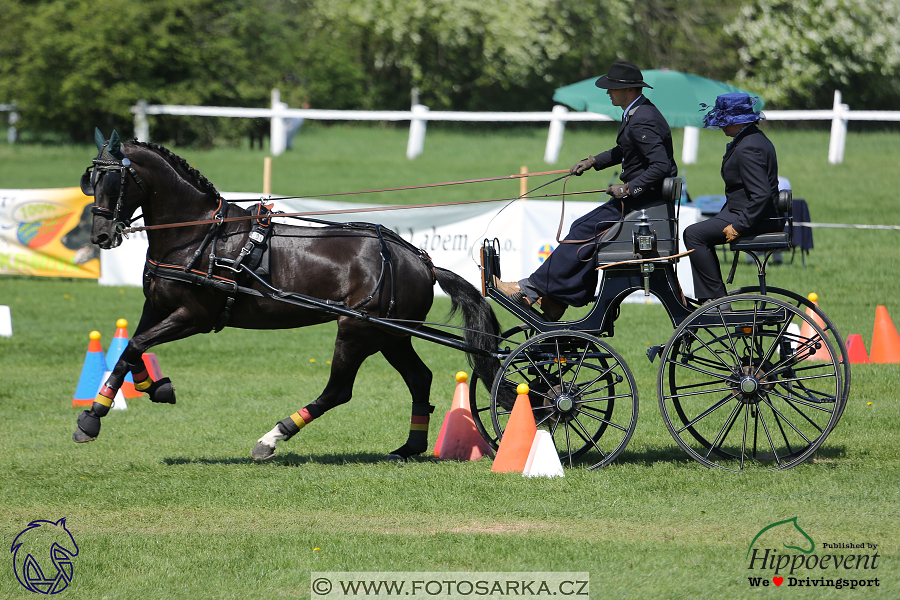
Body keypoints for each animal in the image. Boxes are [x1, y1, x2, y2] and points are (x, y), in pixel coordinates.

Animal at [75, 131, 500, 460]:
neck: (198, 235)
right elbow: (132, 349)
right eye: (89, 179)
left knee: (339, 391)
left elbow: (135, 346)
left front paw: (91, 418)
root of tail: (422, 261)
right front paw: (151, 388)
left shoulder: (193, 316)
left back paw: (272, 438)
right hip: (390, 334)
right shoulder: (156, 306)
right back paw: (409, 447)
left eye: (113, 181)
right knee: (419, 378)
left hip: (357, 331)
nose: (101, 236)